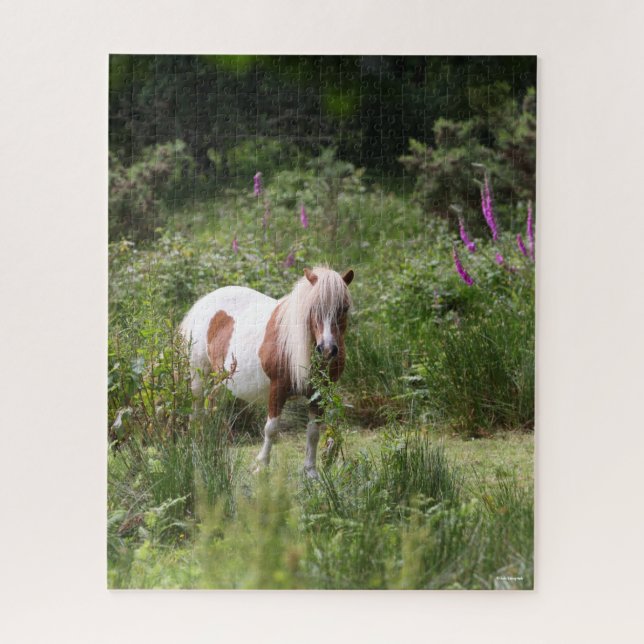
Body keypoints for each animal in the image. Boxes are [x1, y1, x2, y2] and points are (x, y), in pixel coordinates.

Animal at [179, 266, 354, 478]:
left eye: (344, 308)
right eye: (313, 308)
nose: (327, 349)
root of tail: (203, 303)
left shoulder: (318, 395)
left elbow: (313, 432)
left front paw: (310, 471)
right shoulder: (277, 388)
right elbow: (271, 428)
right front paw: (261, 465)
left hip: (220, 381)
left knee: (213, 408)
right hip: (199, 376)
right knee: (196, 411)